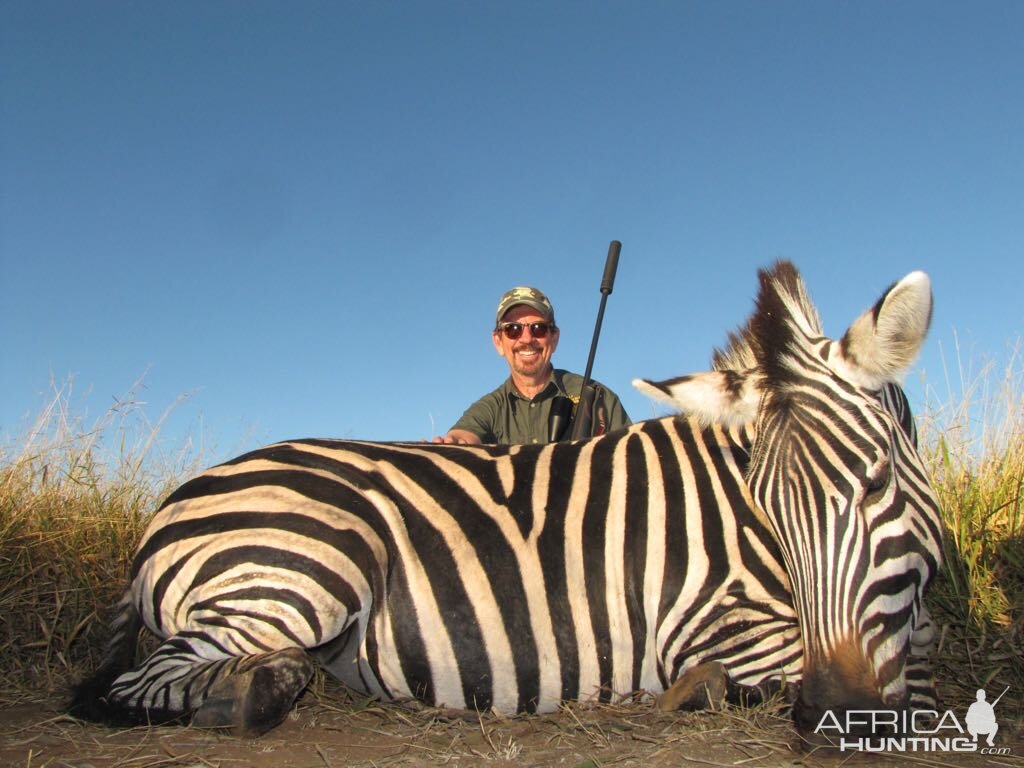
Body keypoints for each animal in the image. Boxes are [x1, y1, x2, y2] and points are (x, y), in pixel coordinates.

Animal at [68, 264, 937, 741]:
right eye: (770, 510)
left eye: (875, 483)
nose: (838, 711)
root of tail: (168, 506)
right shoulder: (713, 623)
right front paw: (701, 692)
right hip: (306, 567)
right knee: (131, 685)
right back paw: (258, 692)